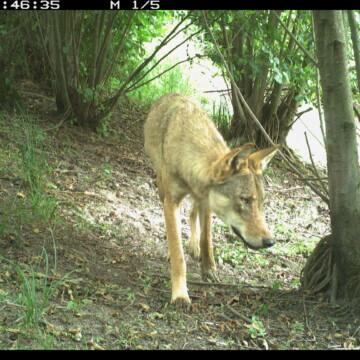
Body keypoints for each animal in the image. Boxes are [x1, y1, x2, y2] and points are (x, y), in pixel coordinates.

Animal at [143, 93, 278, 310]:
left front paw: (208, 269)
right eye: (245, 200)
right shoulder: (172, 201)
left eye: (261, 202)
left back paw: (194, 247)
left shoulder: (206, 202)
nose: (270, 242)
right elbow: (178, 253)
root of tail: (172, 93)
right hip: (162, 189)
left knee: (192, 214)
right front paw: (180, 294)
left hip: (199, 201)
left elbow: (207, 239)